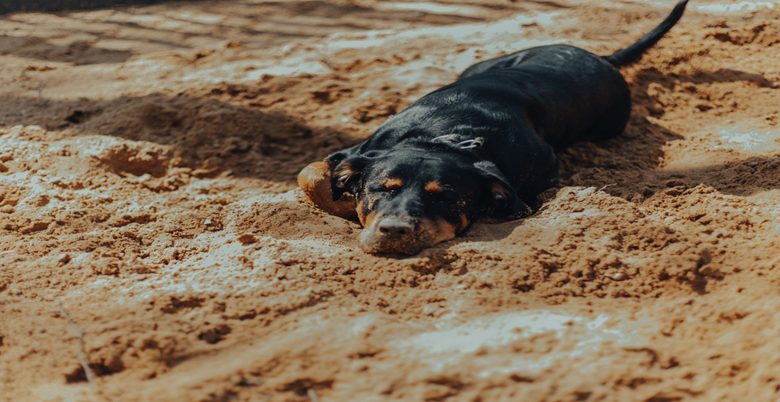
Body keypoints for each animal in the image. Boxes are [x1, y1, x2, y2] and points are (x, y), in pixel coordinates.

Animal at [298, 0, 688, 254]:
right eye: (382, 188)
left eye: (445, 197)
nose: (395, 230)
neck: (442, 137)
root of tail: (601, 57)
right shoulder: (357, 150)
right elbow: (311, 174)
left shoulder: (545, 170)